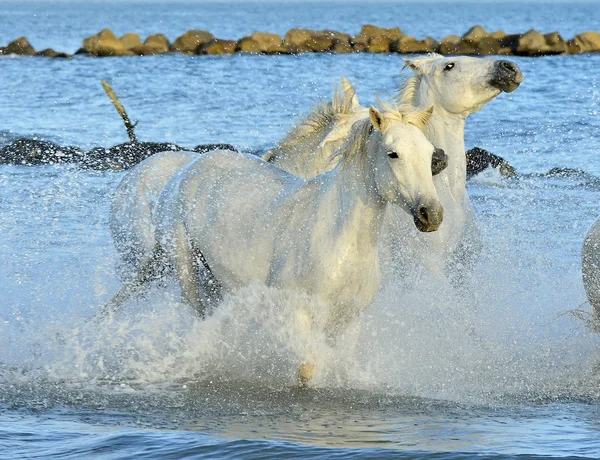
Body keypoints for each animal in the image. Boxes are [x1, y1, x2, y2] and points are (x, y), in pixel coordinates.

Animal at [152, 104, 442, 380]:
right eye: (393, 154)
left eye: (429, 154)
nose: (431, 214)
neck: (341, 243)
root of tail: (188, 169)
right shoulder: (297, 314)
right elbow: (306, 370)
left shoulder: (349, 320)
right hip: (187, 270)